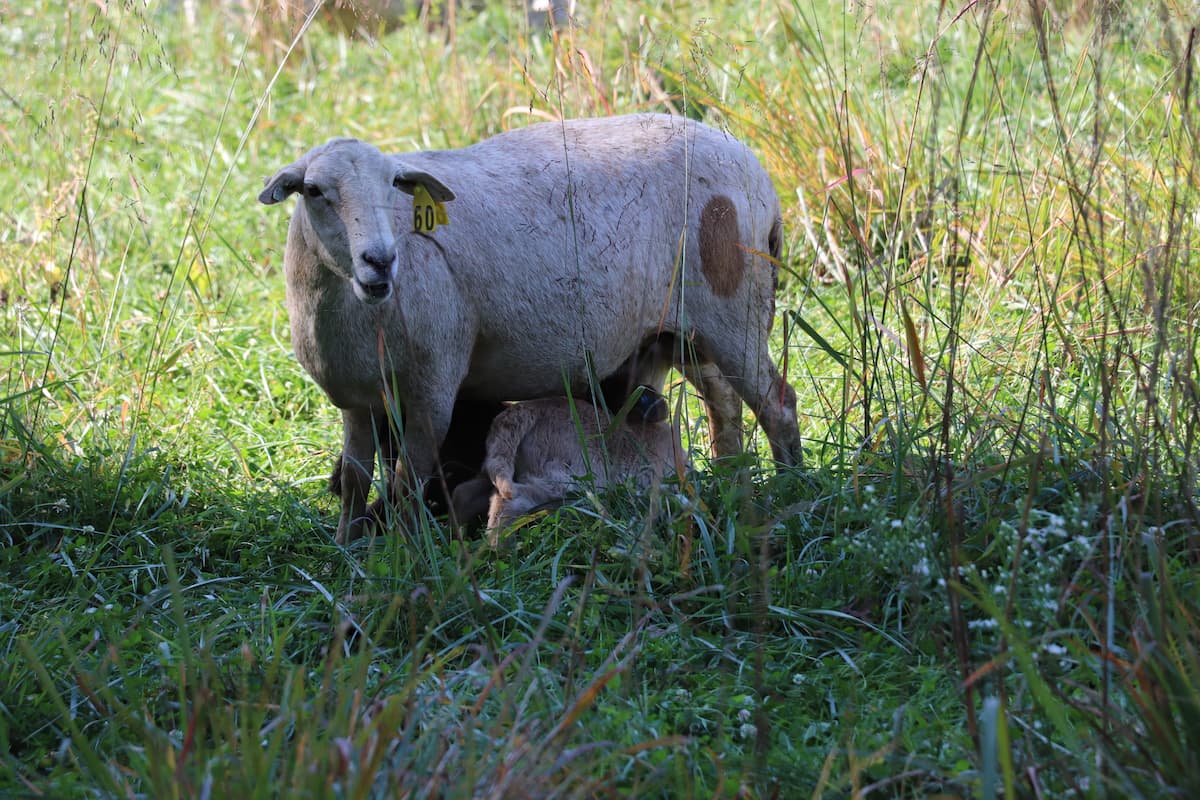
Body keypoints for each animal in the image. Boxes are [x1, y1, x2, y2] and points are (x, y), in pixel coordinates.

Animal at [450, 392, 680, 543]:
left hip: (500, 466)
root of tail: (521, 411)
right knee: (508, 504)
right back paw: (502, 551)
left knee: (464, 494)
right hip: (566, 483)